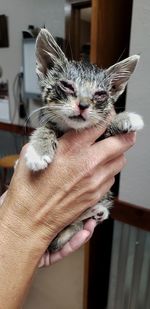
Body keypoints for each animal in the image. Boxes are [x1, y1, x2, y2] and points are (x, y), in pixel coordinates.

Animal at [25, 28, 144, 250]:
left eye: (100, 94)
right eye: (66, 86)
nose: (83, 105)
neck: (72, 130)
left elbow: (105, 125)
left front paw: (125, 118)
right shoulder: (52, 123)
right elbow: (47, 128)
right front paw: (39, 150)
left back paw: (98, 211)